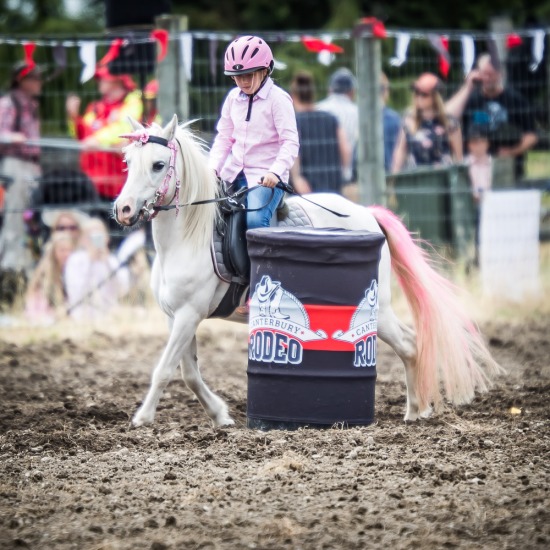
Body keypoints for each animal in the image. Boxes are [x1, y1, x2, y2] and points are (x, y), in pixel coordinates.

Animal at [116, 114, 504, 430]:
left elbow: (165, 369)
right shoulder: (178, 317)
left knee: (409, 344)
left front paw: (142, 418)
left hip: (378, 311)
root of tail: (368, 213)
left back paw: (415, 411)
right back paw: (416, 409)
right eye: (128, 162)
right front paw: (221, 415)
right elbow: (189, 373)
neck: (187, 237)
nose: (123, 209)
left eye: (158, 164)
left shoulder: (188, 315)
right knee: (410, 343)